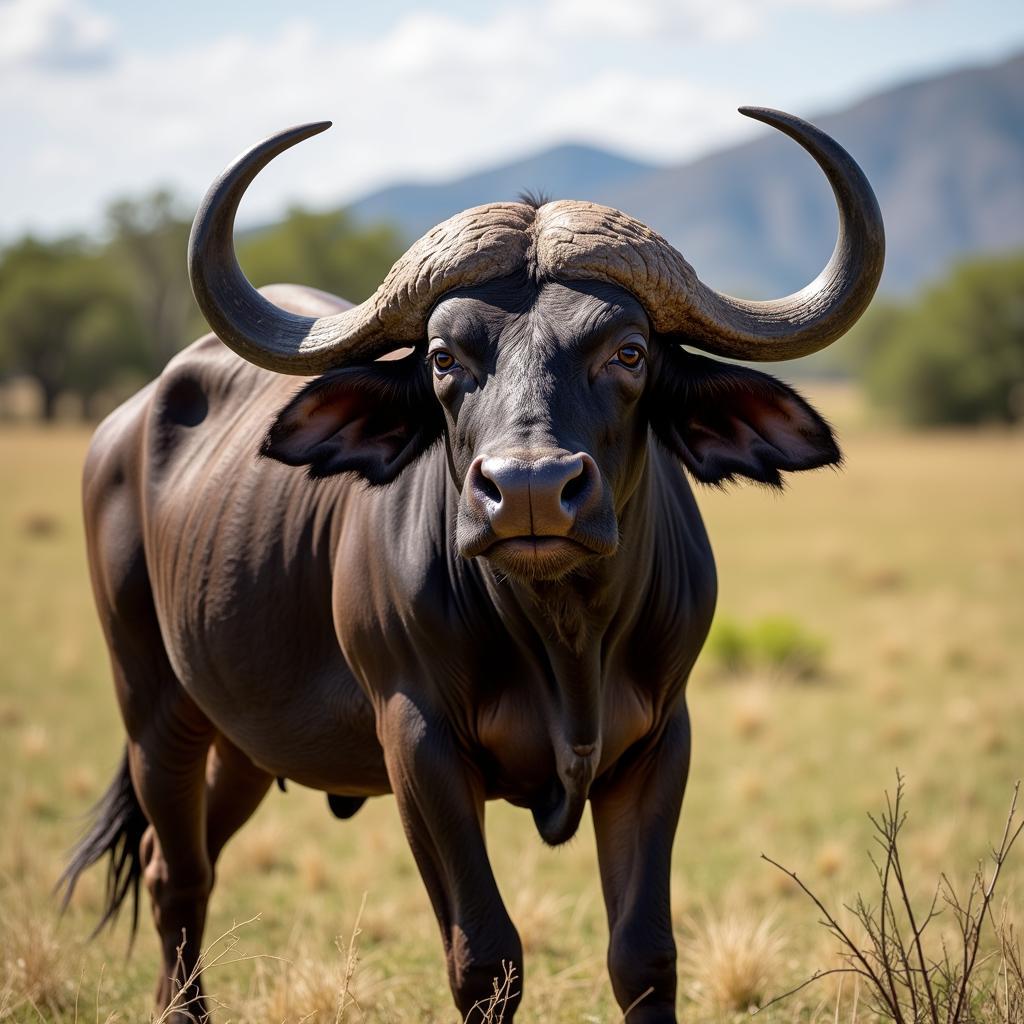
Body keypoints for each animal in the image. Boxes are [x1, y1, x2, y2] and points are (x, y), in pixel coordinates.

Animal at [64, 108, 880, 1019]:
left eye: (629, 351)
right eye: (444, 357)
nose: (528, 490)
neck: (565, 639)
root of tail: (127, 423)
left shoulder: (660, 741)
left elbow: (643, 953)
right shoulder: (418, 744)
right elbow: (486, 955)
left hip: (246, 738)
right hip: (153, 704)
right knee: (177, 872)